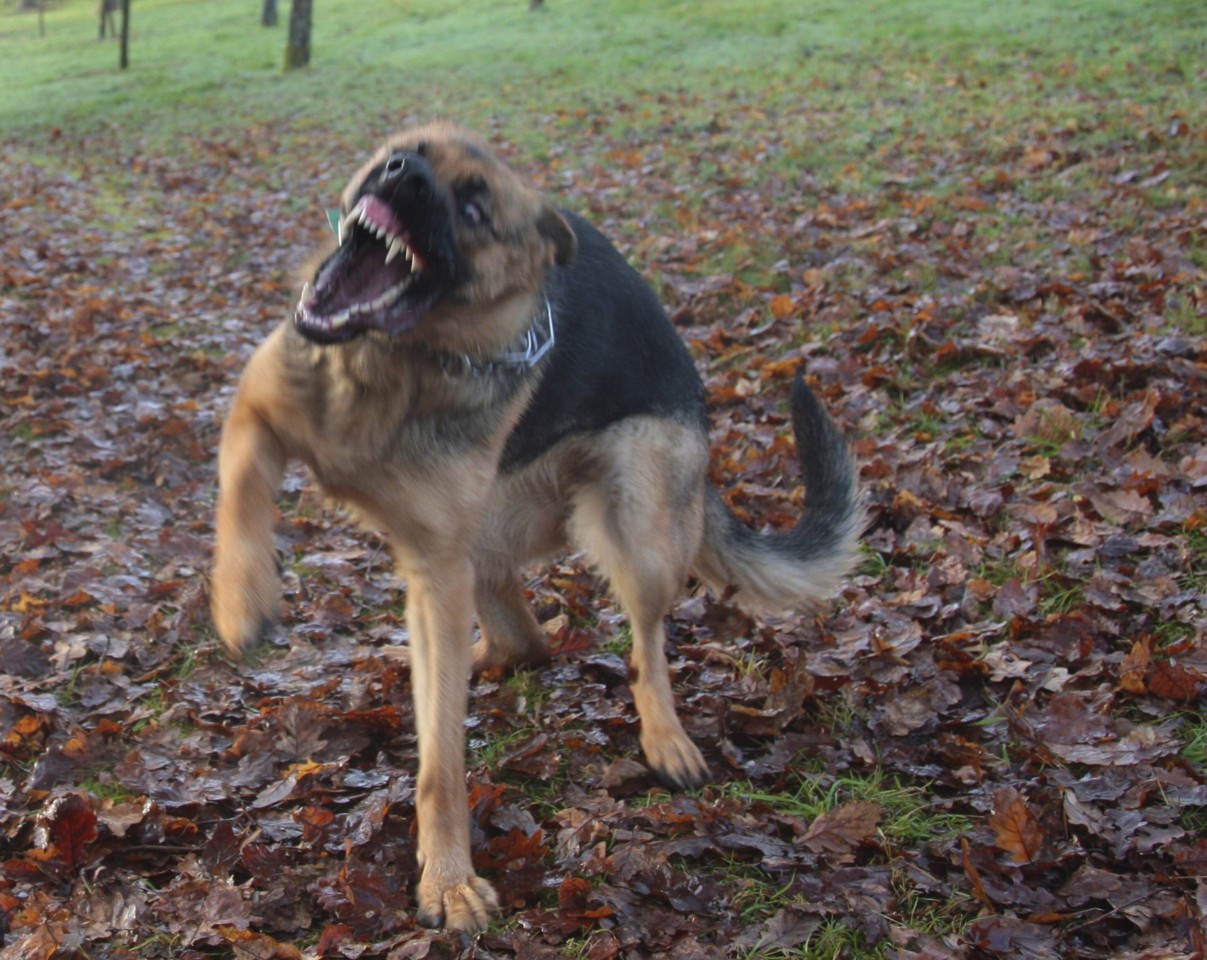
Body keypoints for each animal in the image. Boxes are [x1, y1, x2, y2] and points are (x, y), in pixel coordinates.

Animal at [210, 120, 869, 932]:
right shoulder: (257, 413)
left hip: (632, 524)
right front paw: (240, 599)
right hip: (483, 546)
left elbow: (442, 763)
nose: (402, 175)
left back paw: (664, 736)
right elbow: (240, 493)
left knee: (643, 643)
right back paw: (461, 657)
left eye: (474, 208)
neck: (396, 358)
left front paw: (448, 879)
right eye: (404, 148)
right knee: (524, 641)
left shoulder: (437, 569)